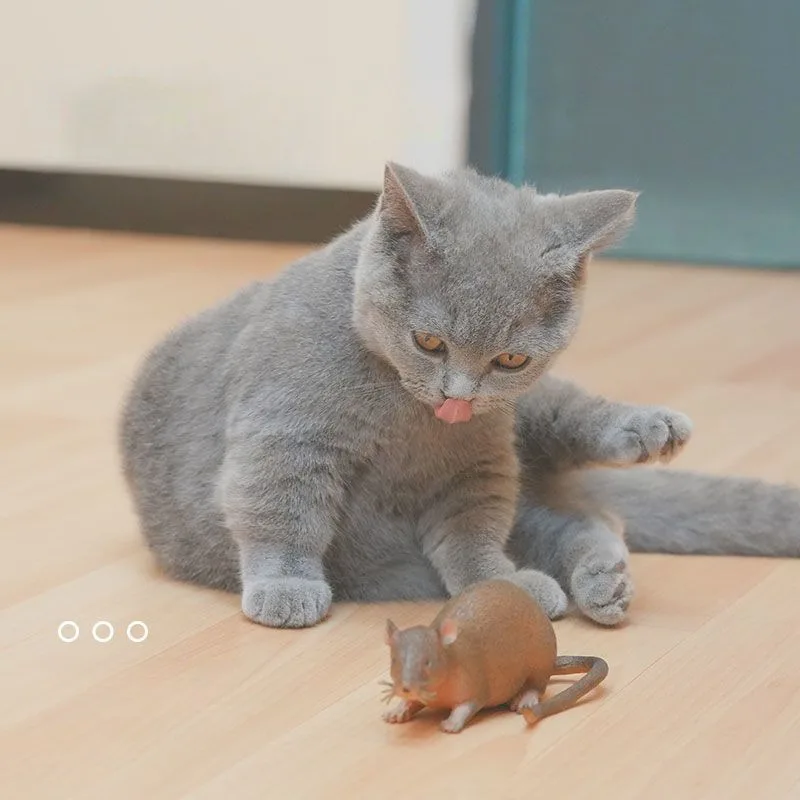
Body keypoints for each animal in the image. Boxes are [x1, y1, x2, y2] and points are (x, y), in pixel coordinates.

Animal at [119, 162, 800, 628]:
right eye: (428, 341)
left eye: (510, 359)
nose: (457, 399)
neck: (404, 414)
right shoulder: (289, 433)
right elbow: (281, 510)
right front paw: (285, 588)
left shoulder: (476, 462)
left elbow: (473, 534)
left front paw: (502, 584)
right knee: (588, 519)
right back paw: (600, 579)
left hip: (528, 416)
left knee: (584, 475)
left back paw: (645, 439)